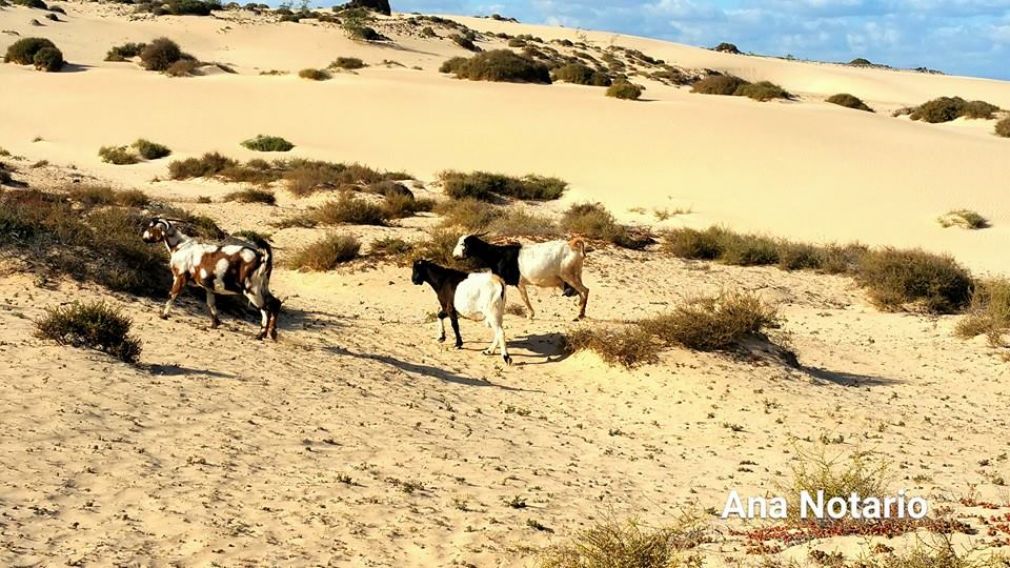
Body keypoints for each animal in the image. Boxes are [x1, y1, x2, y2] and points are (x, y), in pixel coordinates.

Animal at [141, 217, 280, 337]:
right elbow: (211, 304)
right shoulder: (209, 287)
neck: (180, 246)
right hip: (263, 286)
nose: (143, 238)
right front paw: (215, 324)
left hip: (251, 289)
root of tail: (262, 257)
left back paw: (261, 335)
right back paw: (272, 334)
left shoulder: (180, 277)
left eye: (151, 227)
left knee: (265, 309)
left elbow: (172, 294)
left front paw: (164, 315)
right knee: (275, 303)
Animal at [454, 233, 589, 319]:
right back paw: (580, 310)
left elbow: (523, 298)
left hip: (568, 276)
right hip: (575, 276)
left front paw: (530, 315)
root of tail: (572, 245)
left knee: (585, 290)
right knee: (580, 292)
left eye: (463, 244)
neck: (498, 255)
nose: (454, 256)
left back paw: (580, 314)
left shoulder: (515, 282)